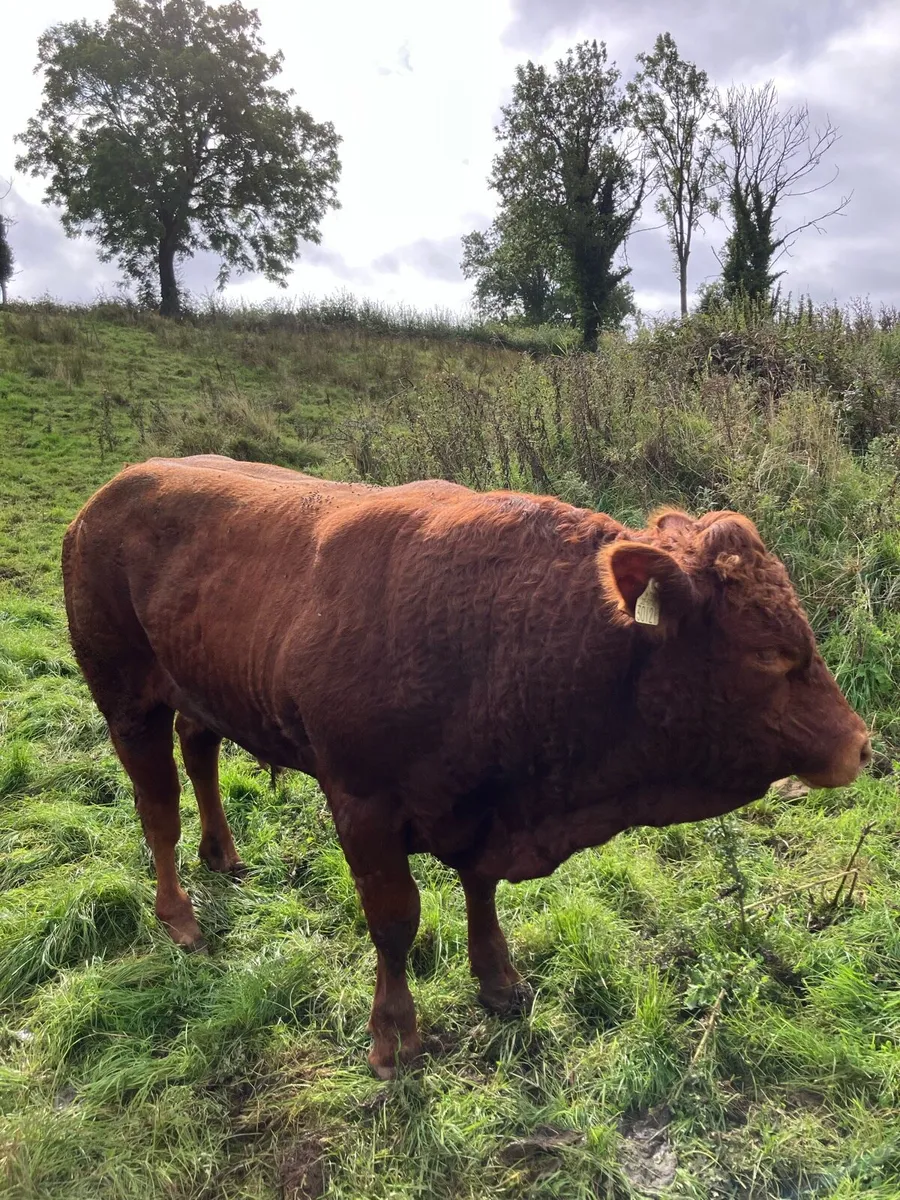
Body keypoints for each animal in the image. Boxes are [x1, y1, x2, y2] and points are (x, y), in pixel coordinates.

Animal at [62, 454, 870, 1078]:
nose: (860, 745)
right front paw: (393, 1037)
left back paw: (223, 854)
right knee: (156, 805)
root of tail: (109, 494)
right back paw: (179, 915)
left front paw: (500, 981)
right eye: (768, 652)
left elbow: (480, 890)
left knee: (199, 753)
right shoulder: (362, 806)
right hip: (125, 698)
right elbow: (395, 922)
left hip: (196, 689)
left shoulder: (483, 805)